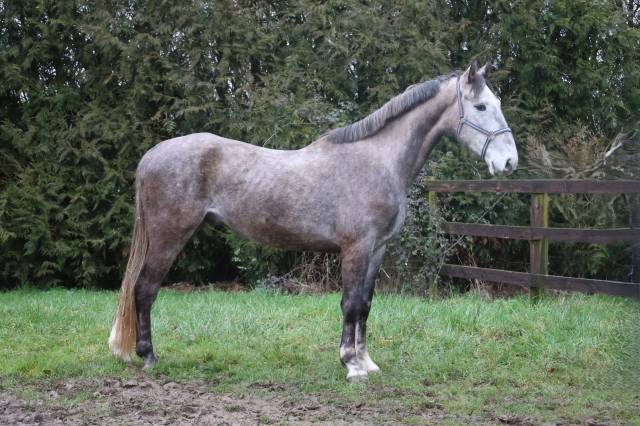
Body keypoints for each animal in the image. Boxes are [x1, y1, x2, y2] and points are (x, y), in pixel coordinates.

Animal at [109, 60, 518, 382]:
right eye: (481, 106)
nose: (509, 162)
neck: (378, 160)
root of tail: (152, 155)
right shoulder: (356, 248)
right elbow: (350, 303)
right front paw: (350, 365)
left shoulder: (377, 250)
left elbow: (365, 304)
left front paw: (366, 362)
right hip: (169, 236)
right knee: (145, 289)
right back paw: (149, 356)